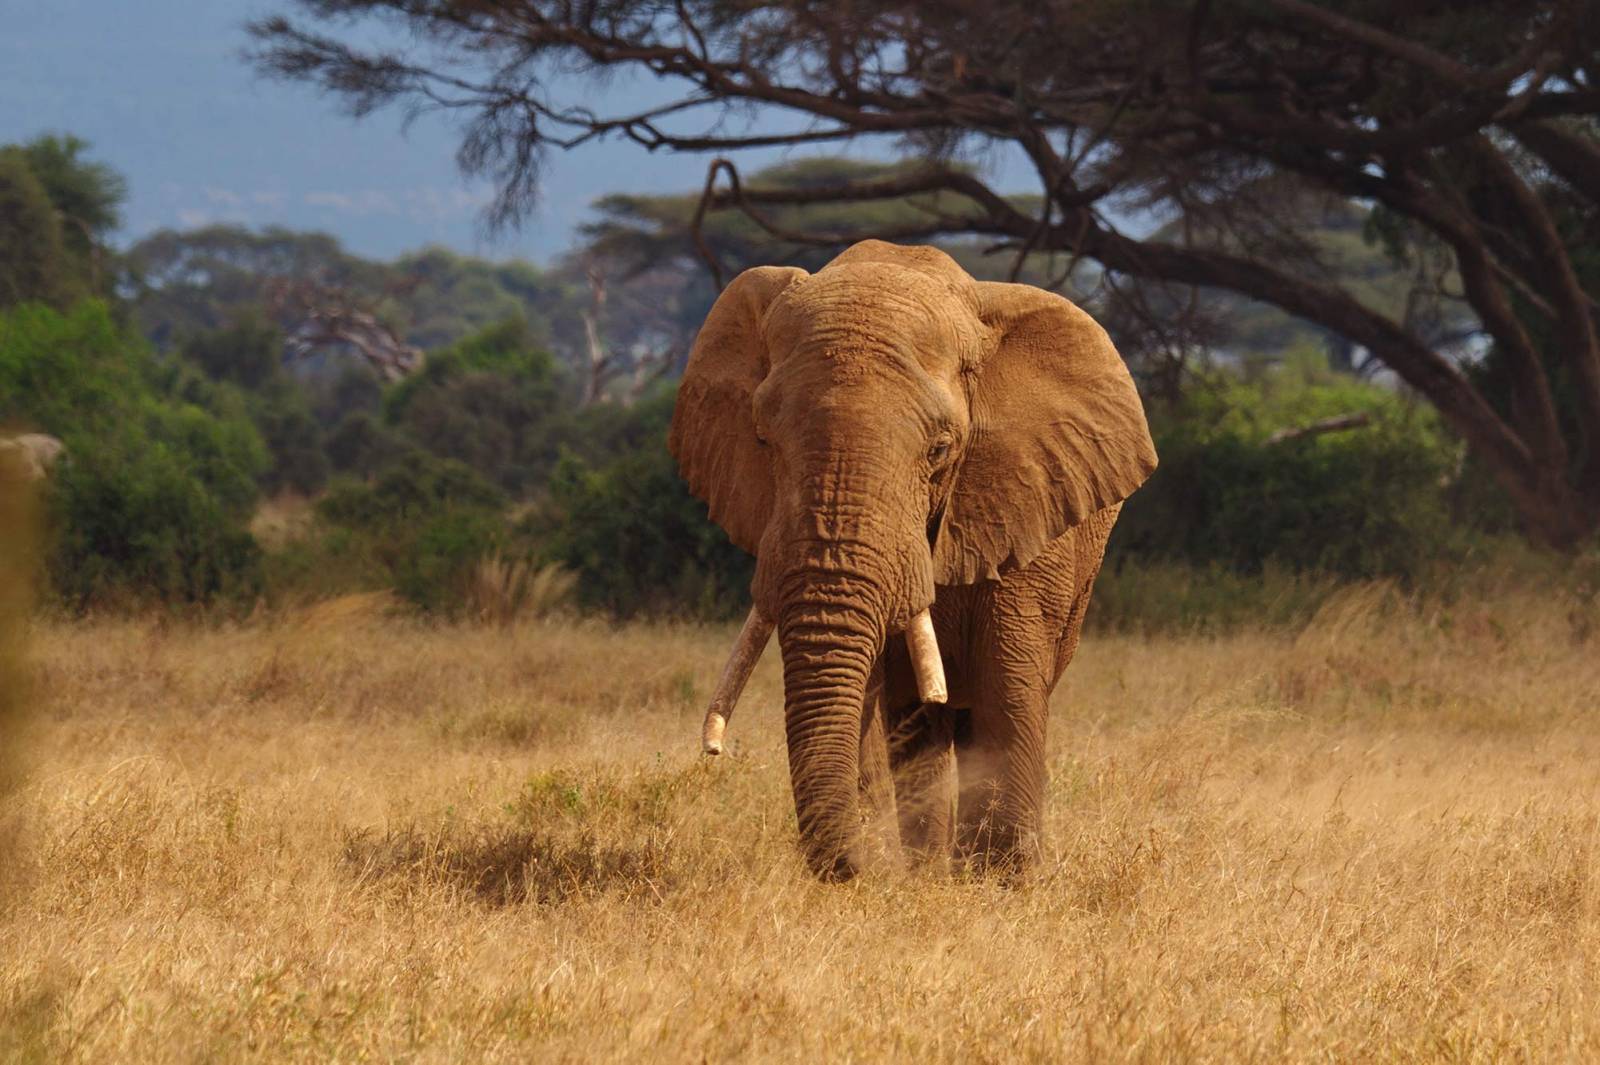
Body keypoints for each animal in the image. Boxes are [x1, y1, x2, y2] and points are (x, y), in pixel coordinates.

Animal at [668, 239, 1158, 876]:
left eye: (941, 449)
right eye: (761, 440)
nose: (853, 869)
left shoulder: (1026, 495)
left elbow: (1008, 675)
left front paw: (1002, 880)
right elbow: (872, 697)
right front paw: (892, 873)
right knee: (918, 725)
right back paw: (927, 866)